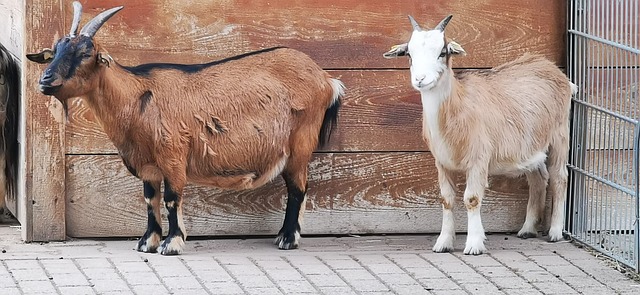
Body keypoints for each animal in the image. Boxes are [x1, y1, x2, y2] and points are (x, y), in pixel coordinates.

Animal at [27, 1, 344, 256]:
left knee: (298, 188)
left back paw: (288, 238)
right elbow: (150, 199)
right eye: (54, 51)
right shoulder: (148, 165)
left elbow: (171, 198)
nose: (46, 80)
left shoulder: (173, 156)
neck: (137, 97)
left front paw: (172, 244)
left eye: (86, 53)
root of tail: (327, 79)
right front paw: (147, 242)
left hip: (300, 143)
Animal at [384, 15, 576, 254]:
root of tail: (552, 69)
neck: (456, 106)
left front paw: (474, 244)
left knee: (560, 177)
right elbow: (447, 199)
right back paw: (528, 229)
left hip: (560, 135)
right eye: (409, 54)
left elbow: (472, 199)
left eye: (442, 52)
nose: (420, 79)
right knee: (539, 179)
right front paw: (443, 243)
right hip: (531, 148)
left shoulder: (478, 159)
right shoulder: (442, 162)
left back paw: (555, 232)